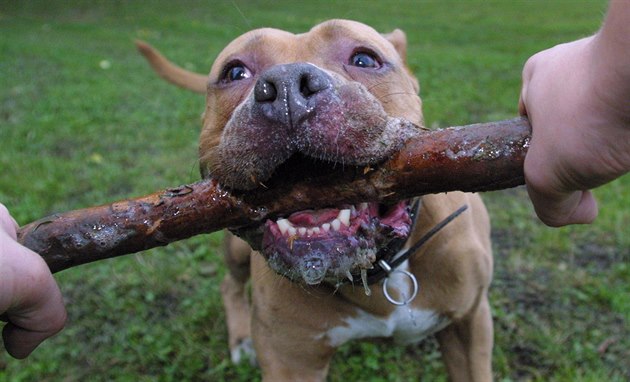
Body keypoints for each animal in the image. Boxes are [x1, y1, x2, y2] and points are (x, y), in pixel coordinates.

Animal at [137, 20, 494, 382]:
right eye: (235, 72)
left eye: (365, 59)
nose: (286, 86)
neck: (379, 271)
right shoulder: (290, 361)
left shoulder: (471, 323)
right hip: (235, 251)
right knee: (229, 284)